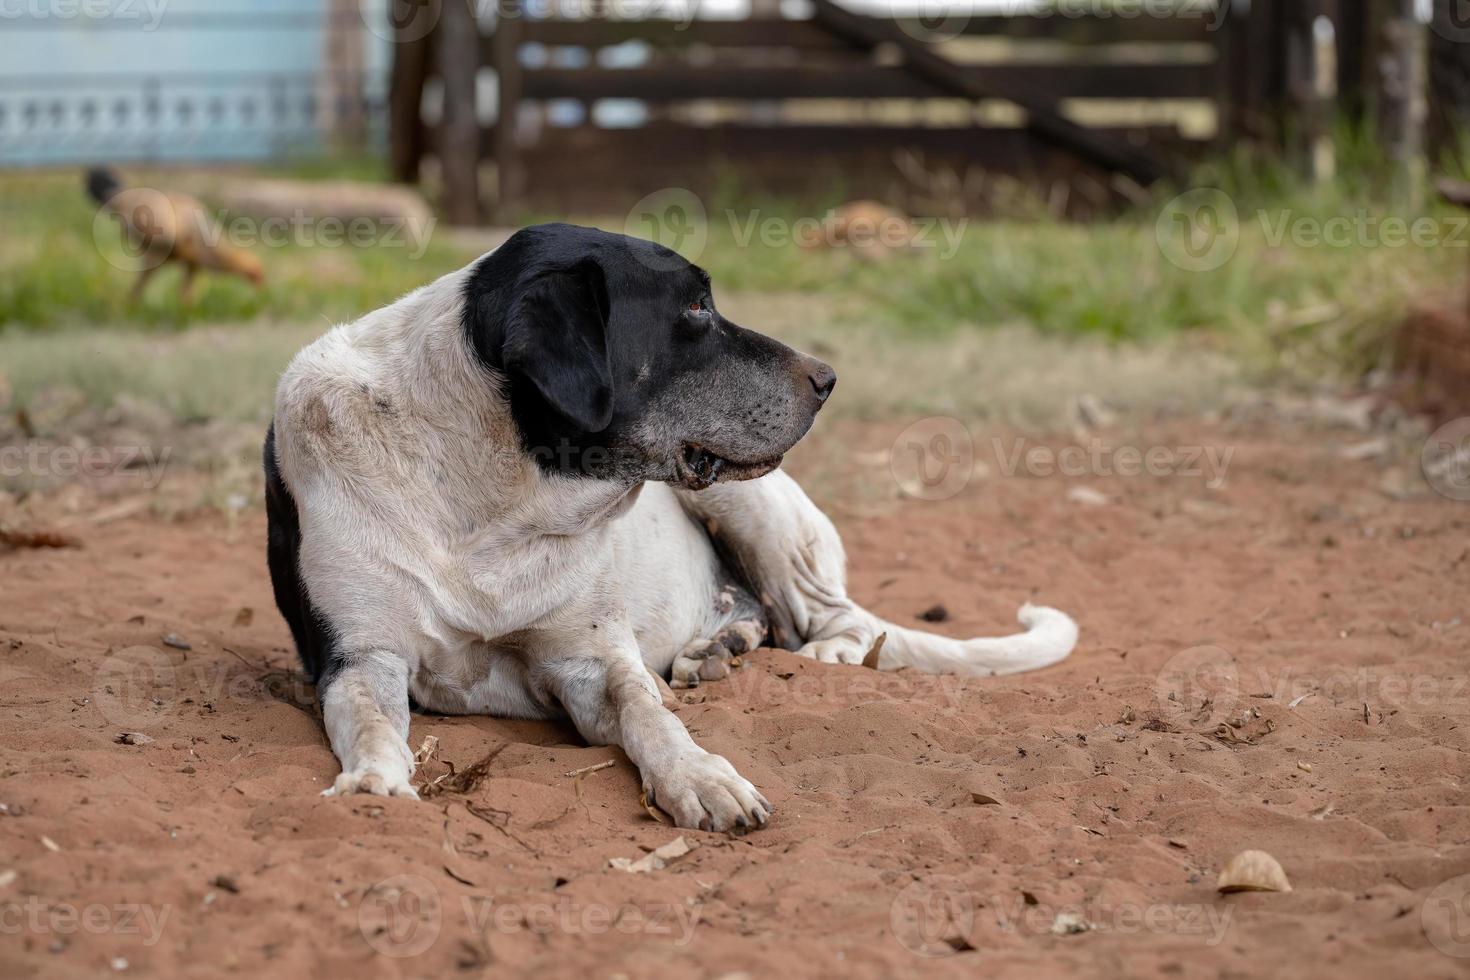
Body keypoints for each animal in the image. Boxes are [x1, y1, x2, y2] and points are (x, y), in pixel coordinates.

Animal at [264, 224, 1076, 834]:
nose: (828, 379)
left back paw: (821, 655)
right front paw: (374, 783)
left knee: (827, 618)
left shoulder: (592, 661)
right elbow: (372, 724)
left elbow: (649, 714)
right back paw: (717, 648)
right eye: (693, 310)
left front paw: (700, 776)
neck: (495, 501)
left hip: (752, 508)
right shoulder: (358, 657)